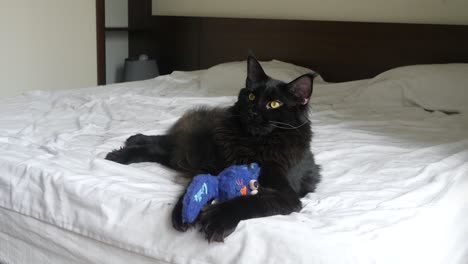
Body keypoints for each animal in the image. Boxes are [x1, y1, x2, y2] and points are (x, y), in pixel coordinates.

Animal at [106, 56, 320, 242]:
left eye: (274, 104)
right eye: (251, 96)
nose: (253, 112)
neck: (251, 142)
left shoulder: (286, 195)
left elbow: (250, 201)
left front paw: (218, 219)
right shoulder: (211, 167)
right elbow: (194, 186)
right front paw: (184, 209)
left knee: (159, 149)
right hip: (193, 151)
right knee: (163, 143)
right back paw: (124, 148)